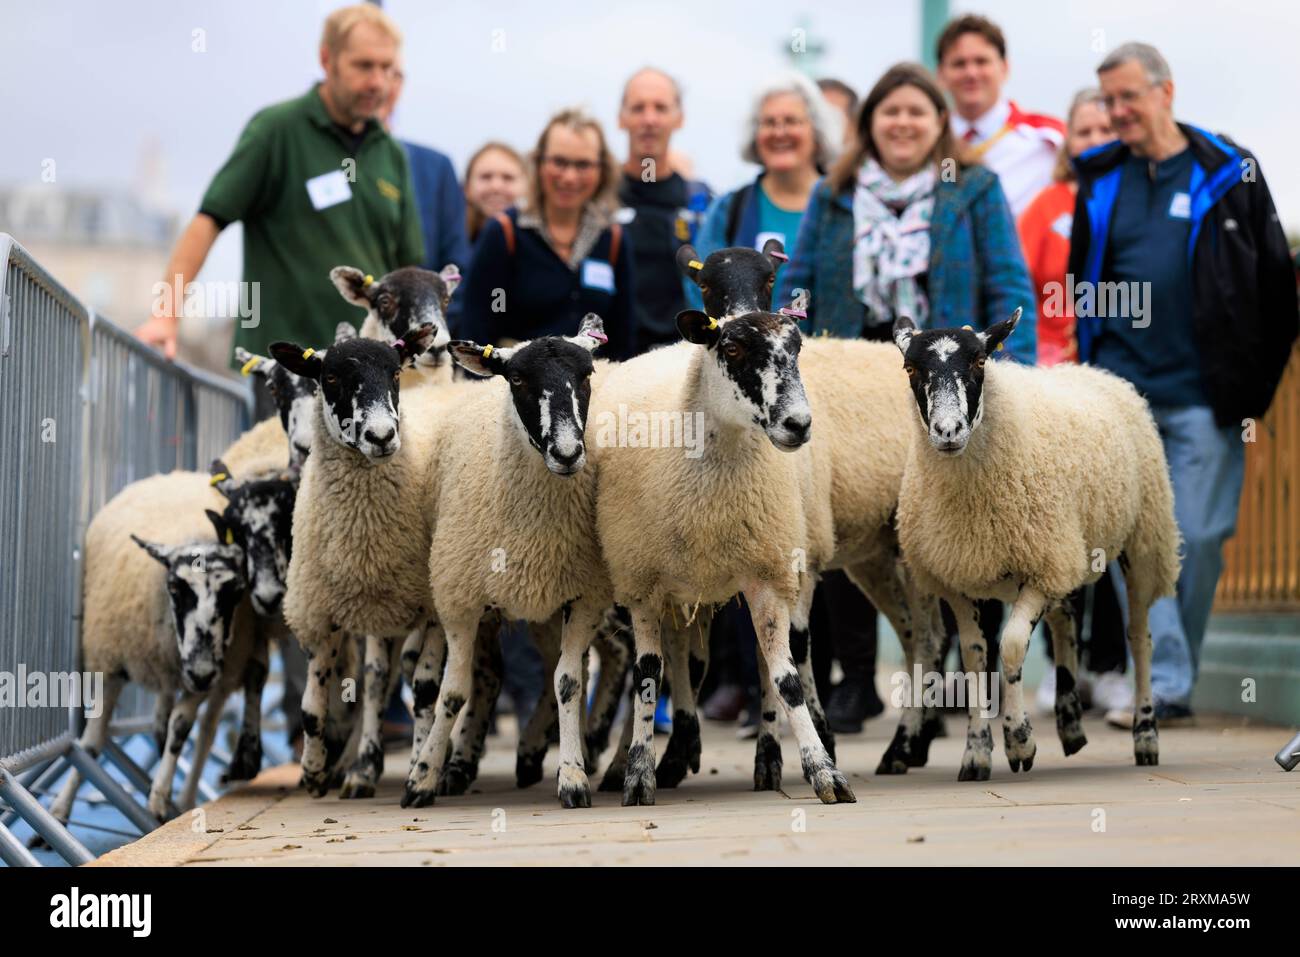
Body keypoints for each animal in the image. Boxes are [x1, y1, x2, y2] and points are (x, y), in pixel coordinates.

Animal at [894, 310, 1180, 780]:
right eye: (911, 369)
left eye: (979, 363)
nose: (948, 431)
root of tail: (1090, 370)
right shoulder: (958, 580)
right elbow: (975, 659)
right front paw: (976, 753)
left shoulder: (1042, 567)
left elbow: (1010, 646)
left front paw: (1019, 741)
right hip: (1070, 550)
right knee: (1066, 621)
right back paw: (1070, 723)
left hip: (1141, 540)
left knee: (1140, 638)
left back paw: (1145, 735)